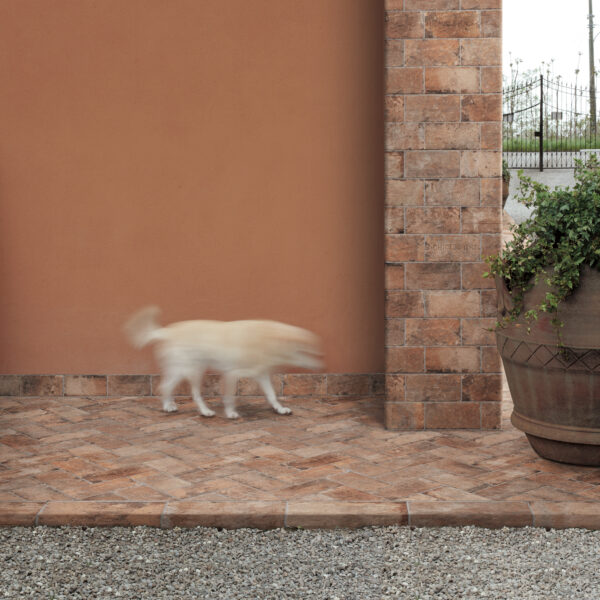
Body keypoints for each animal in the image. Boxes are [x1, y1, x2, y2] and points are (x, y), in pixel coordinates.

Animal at [122, 304, 322, 418]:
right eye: (305, 352)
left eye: (314, 351)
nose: (319, 365)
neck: (268, 339)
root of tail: (167, 331)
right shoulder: (232, 374)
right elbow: (230, 396)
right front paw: (231, 412)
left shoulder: (262, 375)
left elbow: (272, 395)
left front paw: (280, 409)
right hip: (193, 370)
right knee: (191, 393)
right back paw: (204, 412)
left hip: (179, 370)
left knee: (164, 386)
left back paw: (168, 406)